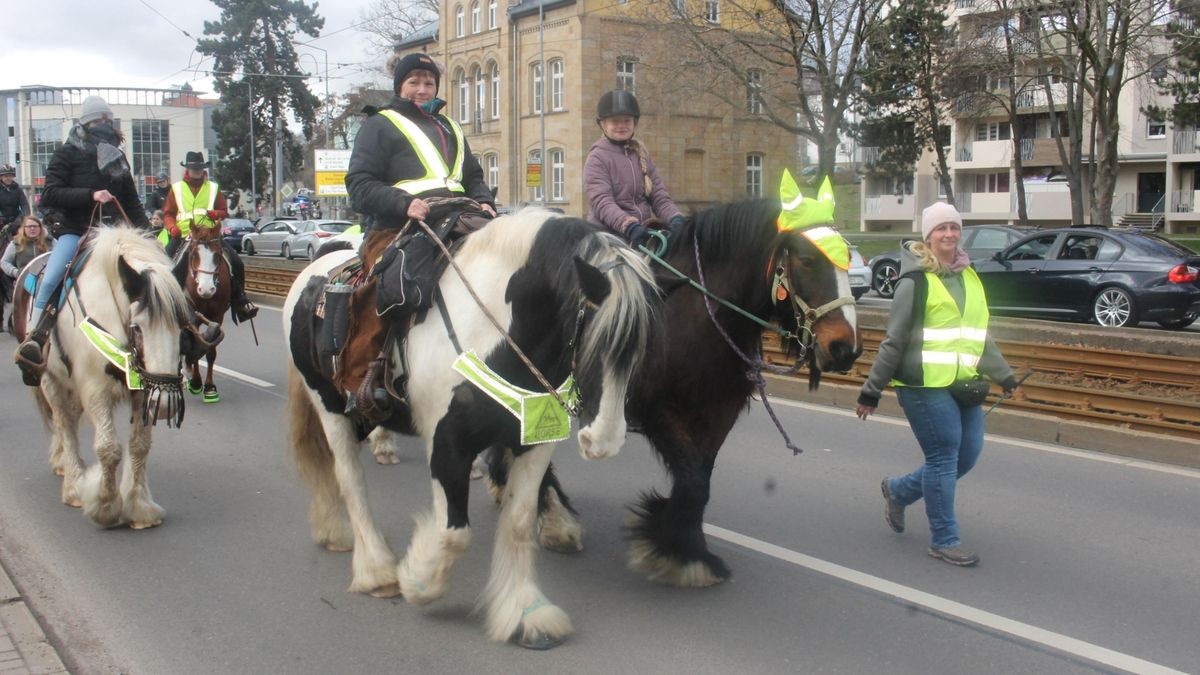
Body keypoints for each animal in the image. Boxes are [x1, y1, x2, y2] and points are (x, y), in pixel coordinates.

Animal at [10, 224, 193, 526]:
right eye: (138, 327)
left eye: (182, 326)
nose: (165, 405)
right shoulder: (96, 389)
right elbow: (109, 449)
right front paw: (105, 506)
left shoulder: (142, 392)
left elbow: (140, 445)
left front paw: (139, 507)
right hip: (50, 379)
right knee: (64, 423)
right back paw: (73, 486)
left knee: (70, 420)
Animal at [180, 223, 231, 401]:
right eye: (194, 254)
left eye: (217, 255)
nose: (207, 289)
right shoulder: (192, 317)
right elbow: (195, 344)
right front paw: (195, 382)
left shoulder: (218, 317)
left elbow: (210, 351)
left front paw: (209, 387)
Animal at [284, 208, 662, 648]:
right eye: (592, 335)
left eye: (640, 346)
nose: (603, 440)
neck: (492, 331)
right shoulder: (448, 444)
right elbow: (454, 534)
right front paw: (418, 580)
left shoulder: (534, 444)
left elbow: (518, 523)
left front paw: (525, 613)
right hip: (331, 409)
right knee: (349, 480)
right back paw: (377, 570)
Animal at [484, 194, 864, 583]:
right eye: (807, 259)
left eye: (849, 259)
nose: (845, 349)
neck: (695, 315)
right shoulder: (657, 412)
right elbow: (694, 480)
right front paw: (676, 551)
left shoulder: (717, 414)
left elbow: (699, 480)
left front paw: (683, 544)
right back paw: (553, 518)